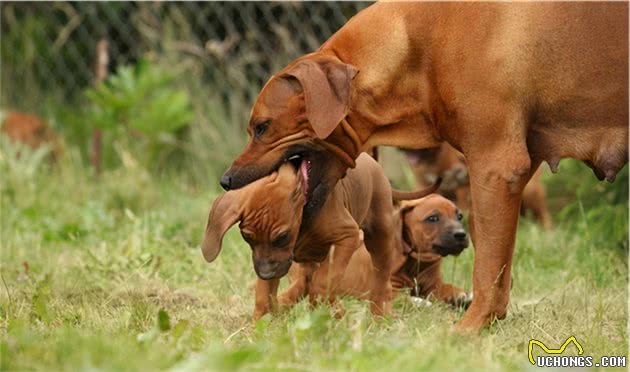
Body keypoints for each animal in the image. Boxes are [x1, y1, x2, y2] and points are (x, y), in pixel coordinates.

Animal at [202, 154, 440, 320]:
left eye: (283, 237)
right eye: (247, 238)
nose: (266, 273)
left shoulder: (347, 237)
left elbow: (322, 285)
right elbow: (264, 297)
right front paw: (258, 328)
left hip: (379, 238)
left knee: (378, 283)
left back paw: (378, 316)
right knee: (310, 283)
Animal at [274, 195, 472, 316]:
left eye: (459, 216)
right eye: (433, 218)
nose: (461, 235)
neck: (415, 261)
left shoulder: (433, 286)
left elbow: (449, 289)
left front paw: (465, 296)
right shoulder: (389, 288)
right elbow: (406, 298)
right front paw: (423, 304)